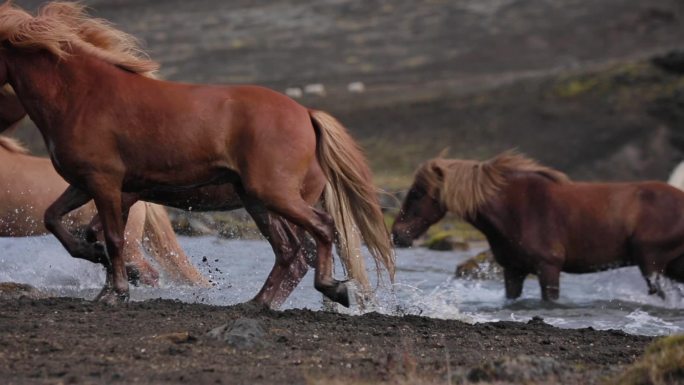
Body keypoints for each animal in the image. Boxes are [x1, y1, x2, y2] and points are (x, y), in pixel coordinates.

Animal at [0, 0, 396, 306]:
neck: (80, 96)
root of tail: (307, 115)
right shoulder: (88, 184)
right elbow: (57, 220)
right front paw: (101, 271)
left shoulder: (105, 183)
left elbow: (112, 237)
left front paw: (115, 293)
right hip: (259, 202)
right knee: (291, 253)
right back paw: (257, 304)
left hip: (276, 195)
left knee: (319, 234)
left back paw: (332, 289)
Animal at [392, 150, 684, 300]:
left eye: (417, 193)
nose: (398, 234)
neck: (515, 209)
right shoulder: (513, 271)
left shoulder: (548, 268)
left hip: (652, 264)